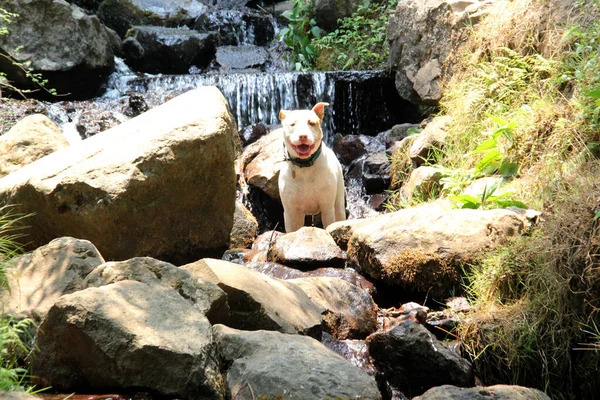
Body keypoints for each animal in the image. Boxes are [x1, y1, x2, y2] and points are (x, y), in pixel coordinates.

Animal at [278, 101, 344, 233]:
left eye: (311, 123)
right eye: (292, 124)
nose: (303, 136)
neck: (304, 166)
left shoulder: (327, 208)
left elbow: (329, 225)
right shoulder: (290, 212)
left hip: (339, 203)